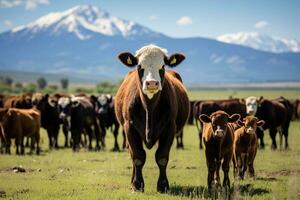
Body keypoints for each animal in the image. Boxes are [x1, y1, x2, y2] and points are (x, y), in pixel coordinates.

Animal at [115, 44, 190, 192]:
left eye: (163, 66)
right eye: (139, 66)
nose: (152, 83)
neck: (149, 108)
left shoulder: (170, 128)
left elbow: (162, 157)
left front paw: (163, 185)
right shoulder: (129, 127)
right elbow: (138, 157)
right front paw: (137, 185)